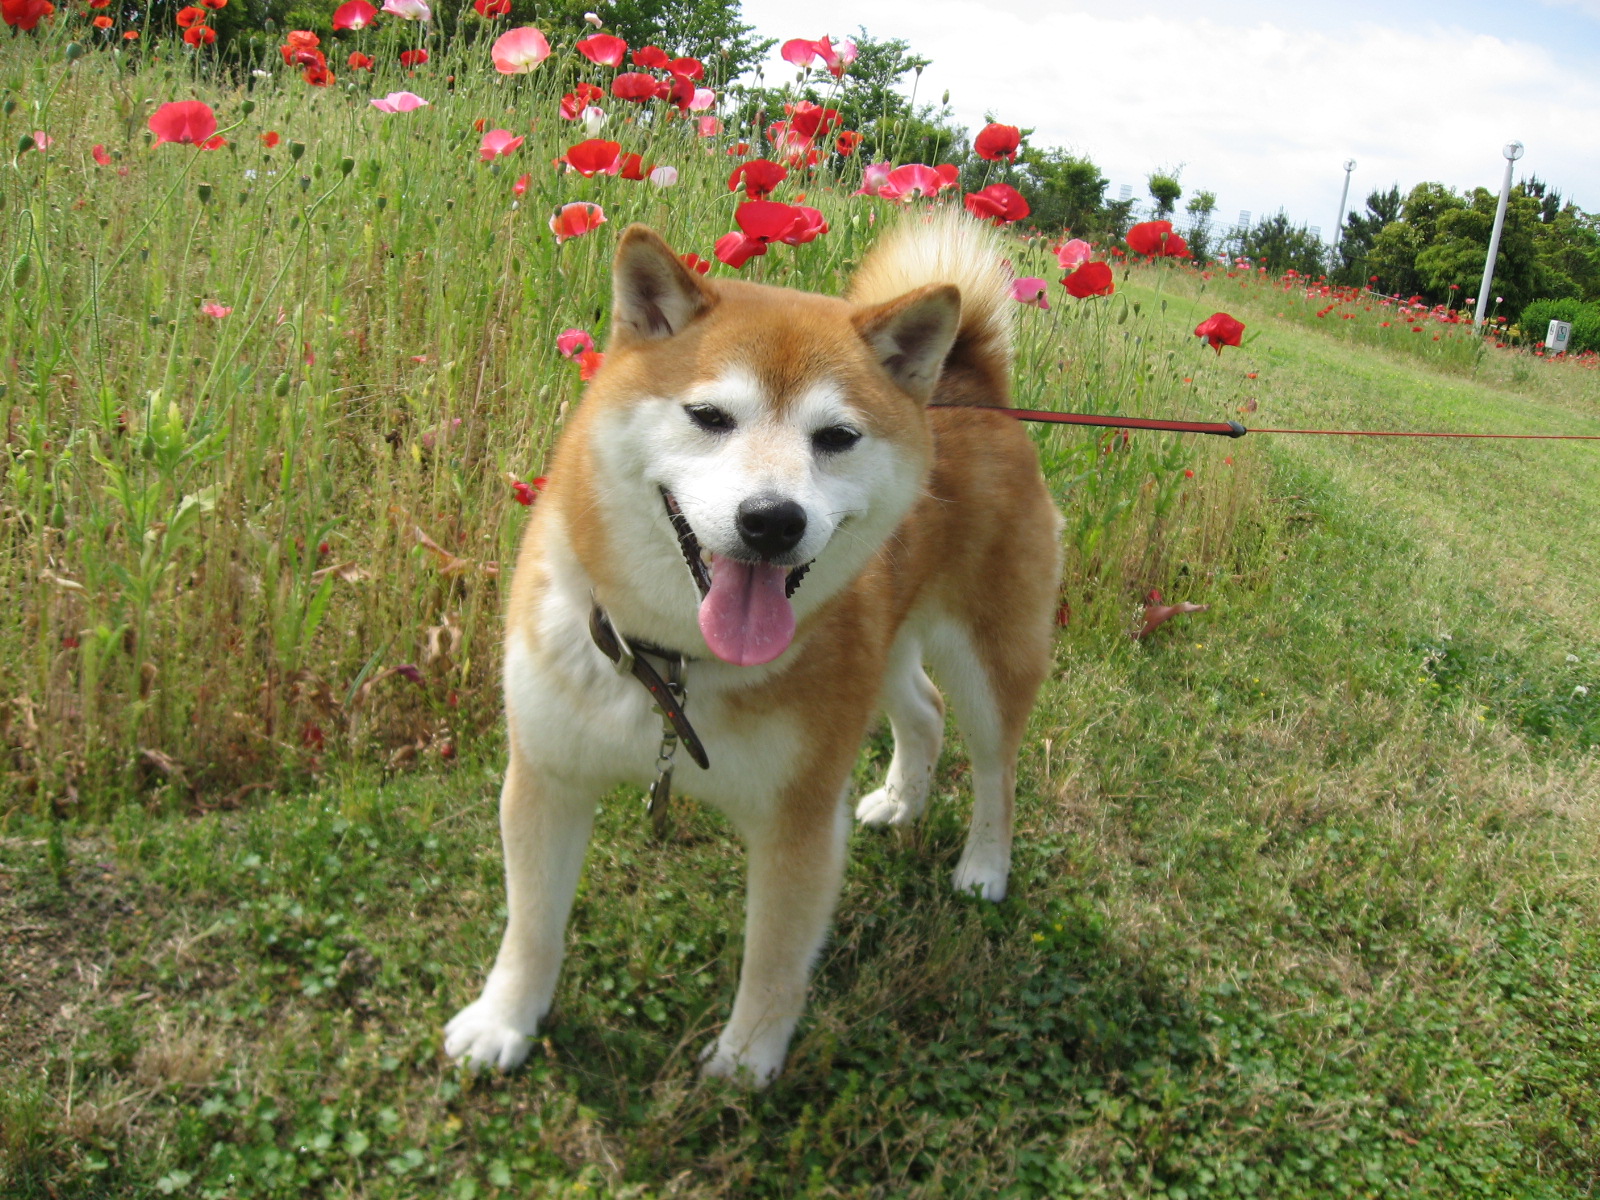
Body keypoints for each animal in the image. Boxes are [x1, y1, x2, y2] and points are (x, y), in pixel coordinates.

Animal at [444, 216, 1062, 1088]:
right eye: (709, 416)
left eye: (836, 437)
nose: (772, 519)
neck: (672, 662)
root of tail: (972, 385)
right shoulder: (548, 774)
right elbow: (531, 923)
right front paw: (504, 1022)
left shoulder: (799, 820)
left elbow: (772, 959)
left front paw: (743, 1064)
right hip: (886, 644)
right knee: (925, 711)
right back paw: (900, 799)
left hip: (991, 650)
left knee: (995, 767)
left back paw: (983, 868)